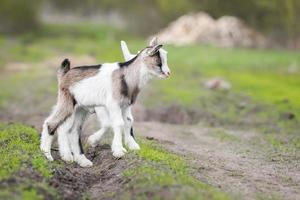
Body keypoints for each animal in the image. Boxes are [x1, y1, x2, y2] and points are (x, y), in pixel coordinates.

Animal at [40, 36, 170, 166]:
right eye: (159, 61)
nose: (168, 73)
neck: (126, 76)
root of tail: (65, 74)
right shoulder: (113, 104)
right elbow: (118, 123)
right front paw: (118, 151)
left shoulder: (125, 105)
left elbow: (128, 121)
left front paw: (132, 146)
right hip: (67, 103)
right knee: (51, 123)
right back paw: (47, 154)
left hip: (80, 109)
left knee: (72, 131)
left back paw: (79, 160)